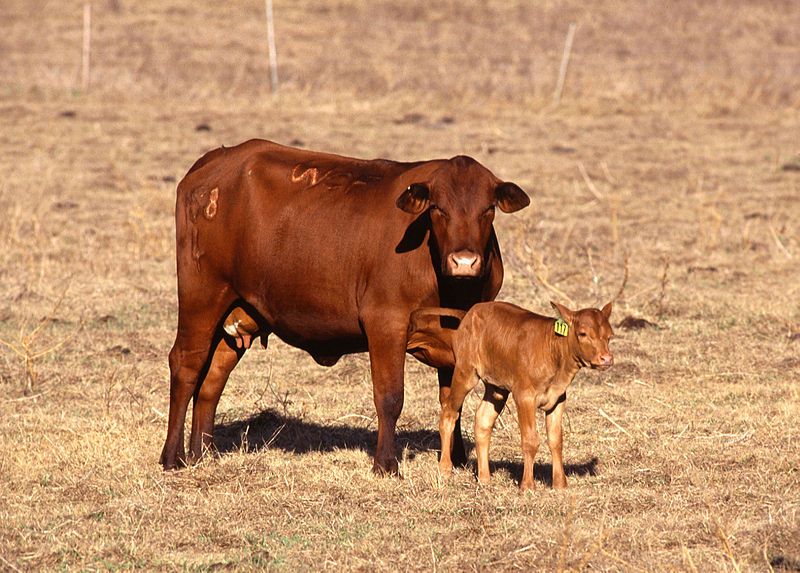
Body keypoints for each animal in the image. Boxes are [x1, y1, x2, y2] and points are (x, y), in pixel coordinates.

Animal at [159, 139, 528, 474]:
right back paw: (172, 457)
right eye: (438, 209)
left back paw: (203, 453)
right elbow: (390, 397)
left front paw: (458, 460)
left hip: (239, 312)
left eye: (488, 210)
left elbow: (454, 398)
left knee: (212, 379)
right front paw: (386, 464)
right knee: (186, 365)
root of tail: (216, 159)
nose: (464, 261)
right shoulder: (385, 324)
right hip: (202, 297)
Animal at [410, 298, 616, 490]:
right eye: (583, 333)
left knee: (483, 420)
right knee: (449, 413)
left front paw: (560, 484)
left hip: (496, 387)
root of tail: (471, 311)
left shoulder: (558, 399)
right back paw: (445, 468)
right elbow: (530, 440)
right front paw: (527, 486)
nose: (606, 358)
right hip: (465, 371)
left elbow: (556, 440)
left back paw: (484, 478)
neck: (553, 350)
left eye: (609, 336)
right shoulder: (524, 396)